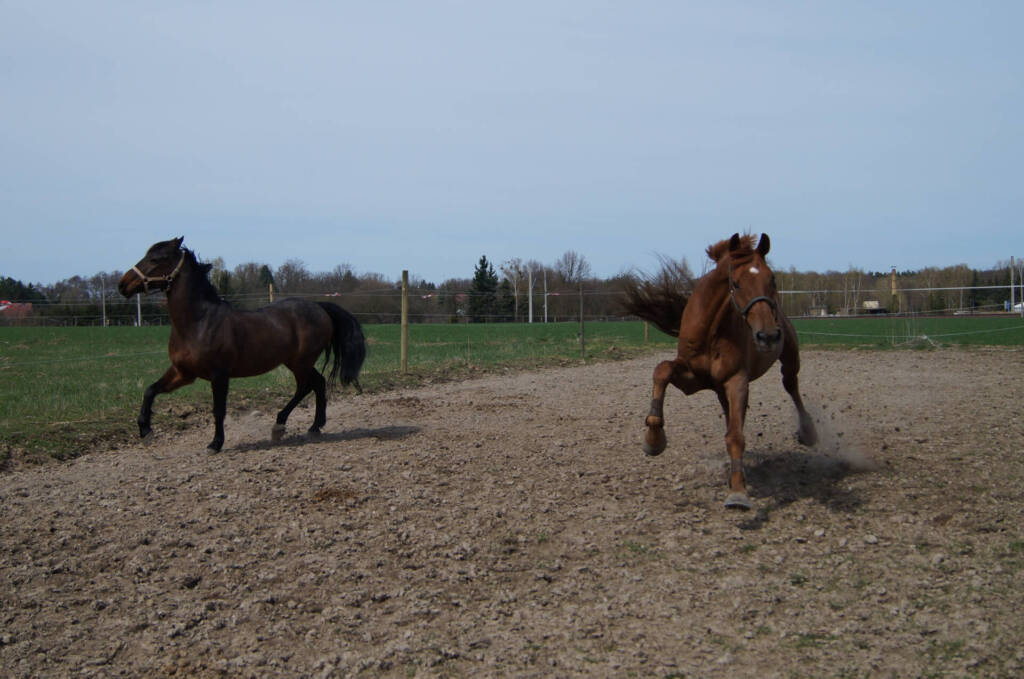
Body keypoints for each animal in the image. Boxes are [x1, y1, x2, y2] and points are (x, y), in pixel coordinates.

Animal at [118, 237, 366, 453]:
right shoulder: (183, 373)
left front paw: (215, 444)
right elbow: (151, 390)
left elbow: (218, 410)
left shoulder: (219, 375)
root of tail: (319, 307)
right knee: (316, 384)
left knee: (307, 386)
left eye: (156, 259)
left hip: (301, 362)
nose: (122, 285)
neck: (198, 323)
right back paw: (312, 427)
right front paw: (145, 431)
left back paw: (284, 426)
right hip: (296, 362)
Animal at [623, 233, 817, 509]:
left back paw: (808, 432)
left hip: (789, 357)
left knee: (791, 385)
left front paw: (738, 492)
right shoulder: (691, 378)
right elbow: (661, 370)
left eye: (772, 279)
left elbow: (735, 436)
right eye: (735, 283)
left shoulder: (736, 380)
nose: (767, 336)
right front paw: (653, 440)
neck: (711, 331)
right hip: (720, 390)